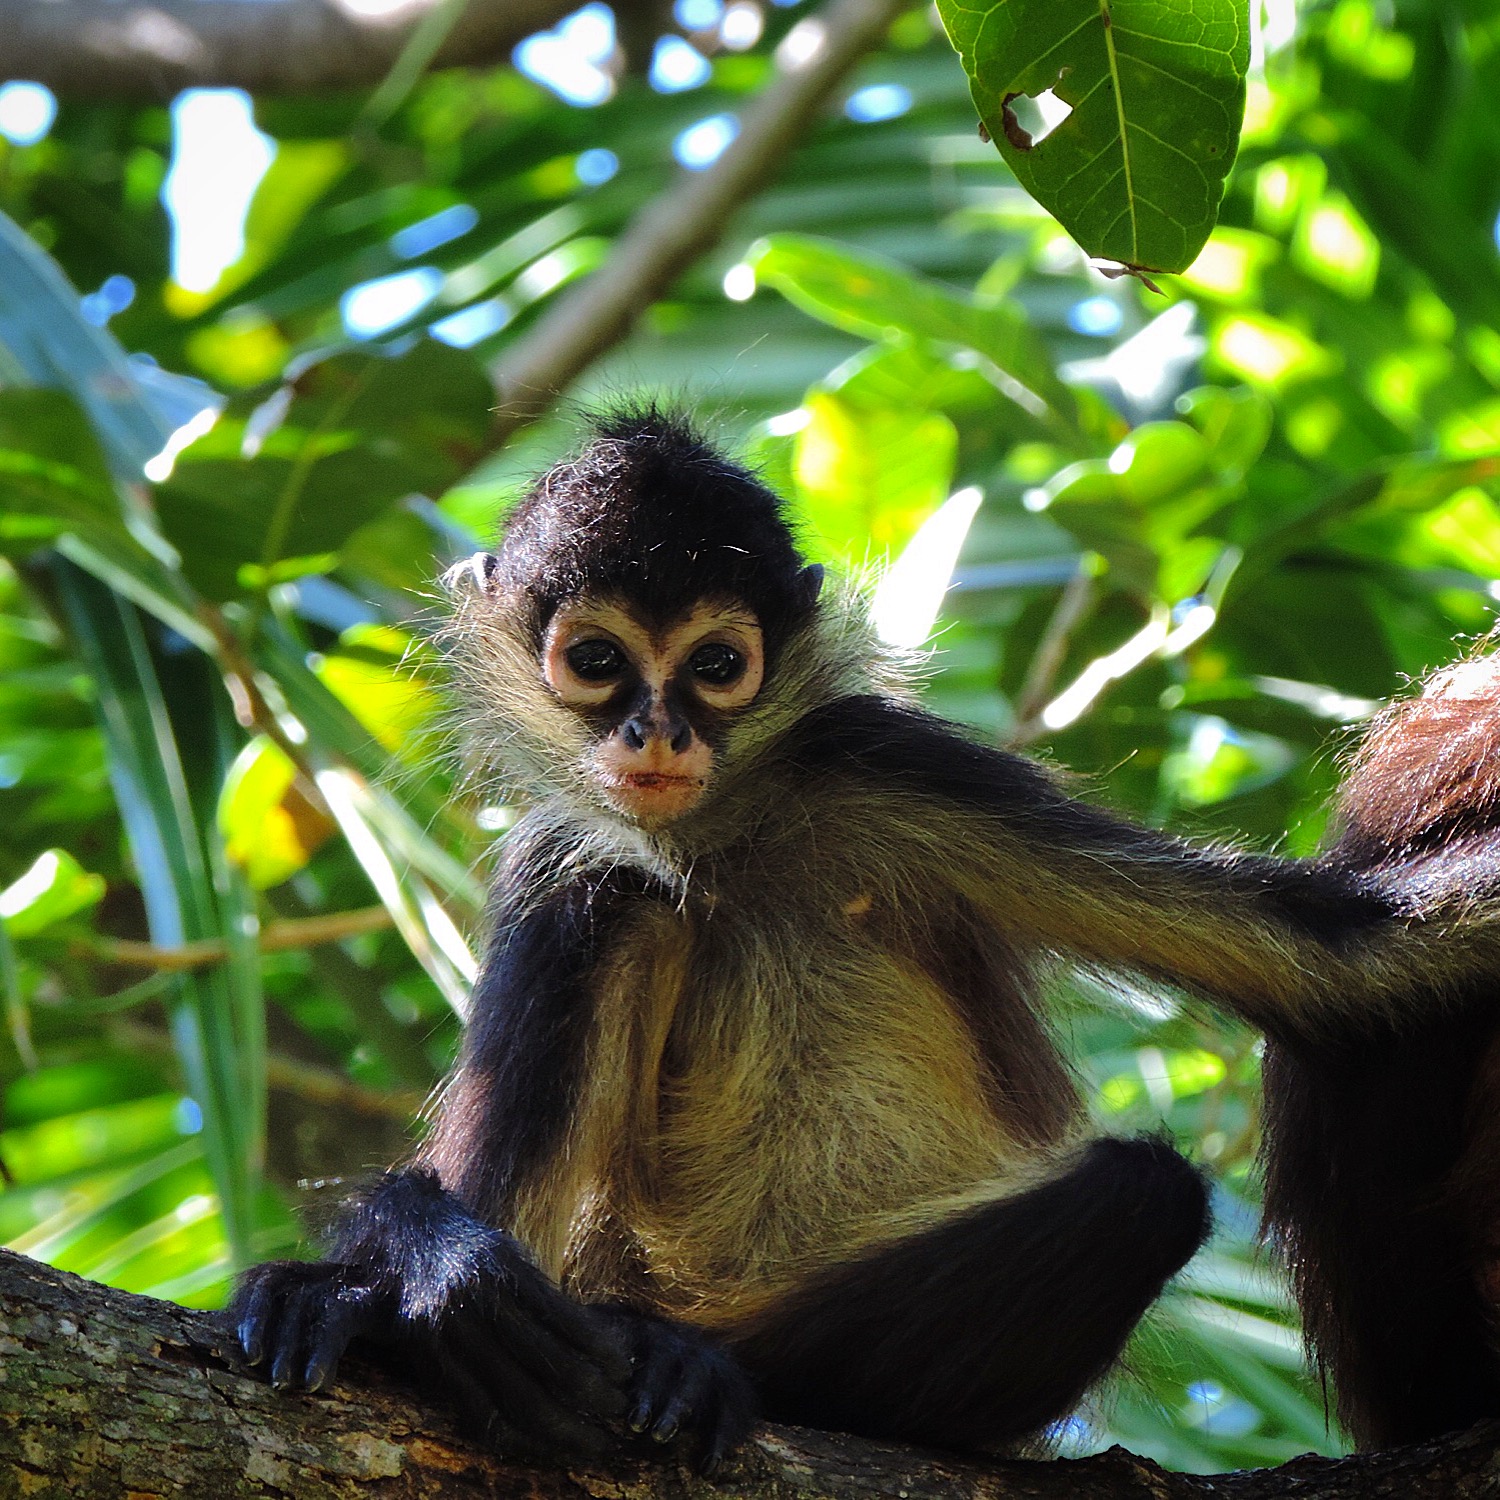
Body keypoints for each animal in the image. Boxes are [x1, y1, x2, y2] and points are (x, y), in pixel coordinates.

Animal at [231, 408, 1500, 1464]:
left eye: (716, 666)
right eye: (596, 662)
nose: (658, 731)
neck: (724, 845)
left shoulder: (880, 761)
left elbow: (1349, 957)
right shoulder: (555, 848)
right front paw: (414, 1274)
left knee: (1145, 1197)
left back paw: (698, 1365)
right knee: (617, 894)